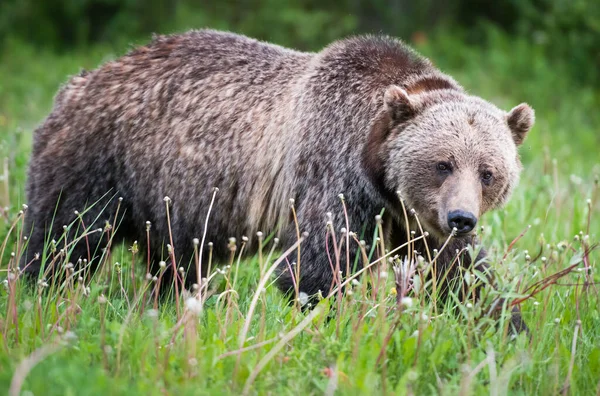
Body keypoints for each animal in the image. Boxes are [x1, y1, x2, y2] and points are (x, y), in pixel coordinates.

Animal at [21, 28, 532, 332]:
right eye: (442, 163)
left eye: (488, 172)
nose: (462, 218)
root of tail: (82, 80)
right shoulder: (332, 173)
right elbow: (316, 267)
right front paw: (336, 323)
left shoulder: (412, 219)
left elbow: (462, 275)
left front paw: (506, 327)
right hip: (101, 161)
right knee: (65, 238)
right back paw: (39, 293)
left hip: (166, 200)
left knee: (174, 261)